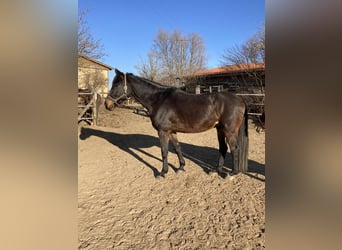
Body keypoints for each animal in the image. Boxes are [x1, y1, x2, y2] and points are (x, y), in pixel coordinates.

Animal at [105, 68, 248, 178]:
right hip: (219, 129)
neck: (159, 100)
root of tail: (239, 99)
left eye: (116, 85)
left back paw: (232, 173)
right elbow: (177, 148)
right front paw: (180, 167)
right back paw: (216, 171)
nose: (107, 104)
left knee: (234, 148)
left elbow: (164, 151)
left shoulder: (162, 131)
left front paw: (162, 172)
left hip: (229, 130)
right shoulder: (171, 131)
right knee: (223, 148)